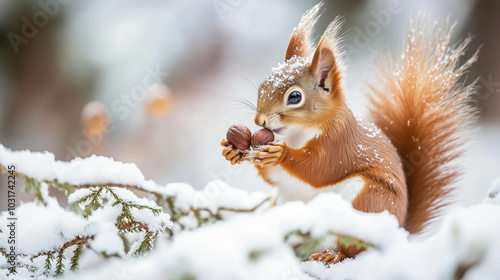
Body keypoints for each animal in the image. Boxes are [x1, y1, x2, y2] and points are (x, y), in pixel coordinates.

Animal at [222, 3, 476, 264]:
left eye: (294, 97)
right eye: (263, 85)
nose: (259, 120)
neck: (298, 134)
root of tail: (397, 232)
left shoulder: (338, 142)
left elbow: (318, 169)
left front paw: (280, 154)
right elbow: (274, 177)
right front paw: (234, 151)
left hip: (367, 202)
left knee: (355, 250)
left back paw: (332, 256)